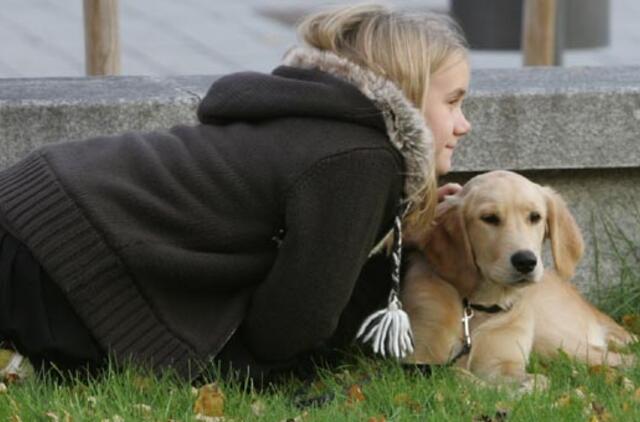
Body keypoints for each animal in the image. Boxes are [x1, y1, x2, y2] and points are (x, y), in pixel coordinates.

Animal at [402, 170, 636, 384]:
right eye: (489, 218)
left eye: (535, 217)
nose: (526, 261)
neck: (479, 307)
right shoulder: (415, 360)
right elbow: (453, 374)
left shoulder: (503, 362)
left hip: (557, 341)